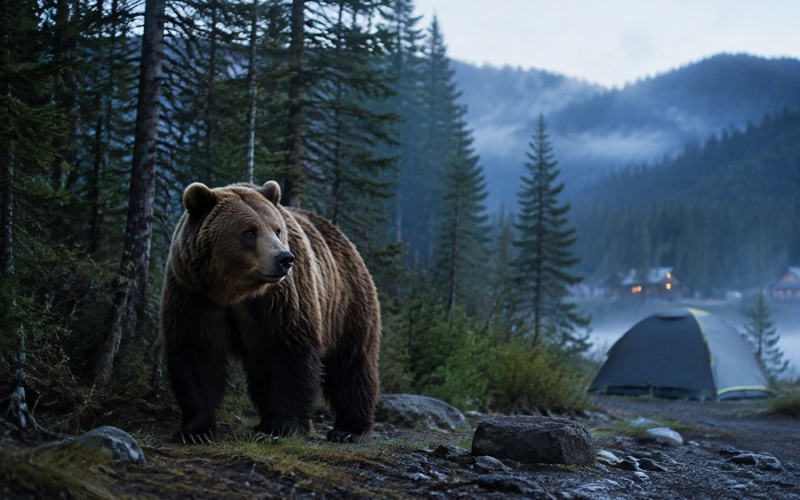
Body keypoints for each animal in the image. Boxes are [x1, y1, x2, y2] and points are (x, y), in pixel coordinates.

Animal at [160, 180, 381, 444]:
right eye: (249, 231)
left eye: (277, 229)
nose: (285, 258)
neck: (234, 292)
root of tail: (342, 237)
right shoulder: (194, 294)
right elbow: (196, 353)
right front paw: (195, 430)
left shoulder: (280, 300)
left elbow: (289, 350)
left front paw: (280, 427)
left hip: (346, 302)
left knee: (351, 364)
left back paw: (350, 429)